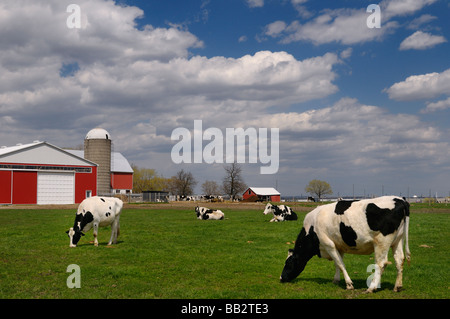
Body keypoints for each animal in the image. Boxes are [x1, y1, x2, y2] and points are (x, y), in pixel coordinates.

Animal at [282, 196, 412, 294]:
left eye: (288, 263)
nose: (281, 278)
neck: (312, 227)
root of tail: (400, 199)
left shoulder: (328, 244)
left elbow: (340, 264)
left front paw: (349, 284)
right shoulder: (339, 246)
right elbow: (337, 263)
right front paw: (336, 280)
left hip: (381, 242)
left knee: (381, 263)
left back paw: (371, 288)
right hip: (397, 240)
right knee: (399, 260)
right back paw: (397, 286)